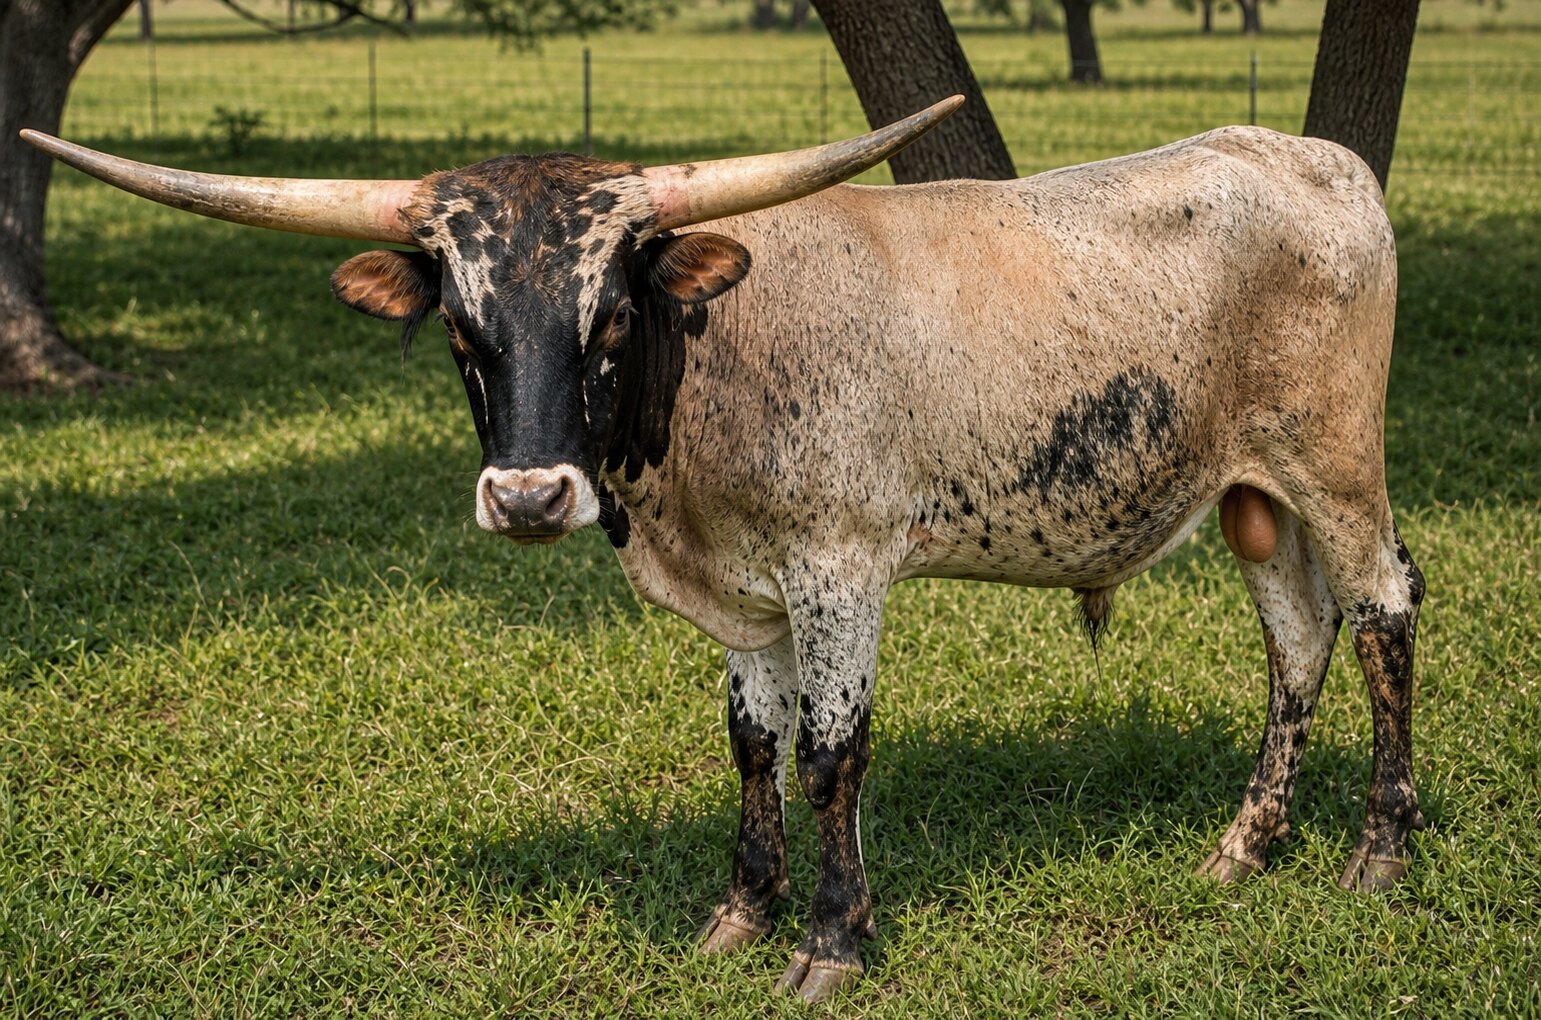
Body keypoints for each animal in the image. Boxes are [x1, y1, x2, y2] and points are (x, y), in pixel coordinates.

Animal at [24, 98, 1425, 1002]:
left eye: (607, 316)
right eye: (465, 333)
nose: (528, 497)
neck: (709, 365)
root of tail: (1315, 158)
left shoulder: (841, 572)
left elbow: (828, 756)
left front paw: (832, 942)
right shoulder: (746, 602)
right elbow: (751, 745)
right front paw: (741, 915)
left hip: (1336, 464)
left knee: (1381, 613)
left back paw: (1376, 854)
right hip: (1251, 493)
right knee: (1294, 636)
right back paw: (1245, 846)